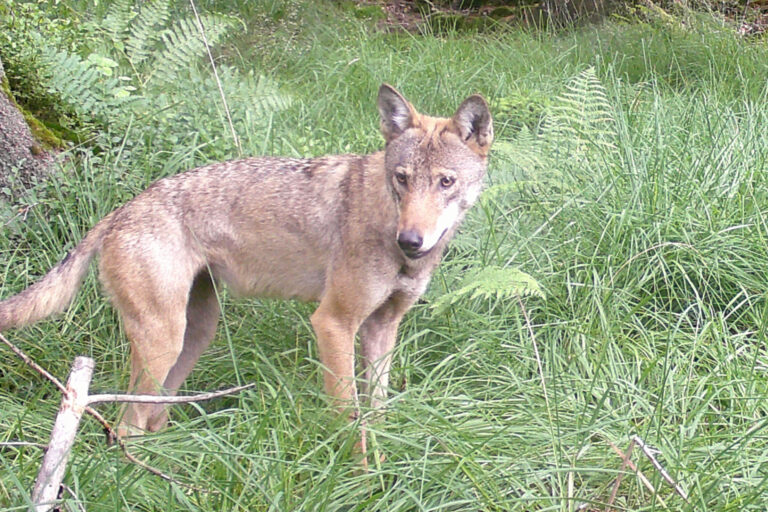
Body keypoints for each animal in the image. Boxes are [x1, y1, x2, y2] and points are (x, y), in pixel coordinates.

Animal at [0, 84, 493, 436]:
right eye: (402, 179)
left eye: (446, 182)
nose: (411, 240)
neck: (385, 220)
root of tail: (120, 211)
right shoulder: (333, 323)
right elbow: (349, 419)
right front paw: (359, 476)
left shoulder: (382, 328)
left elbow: (378, 413)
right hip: (165, 342)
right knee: (127, 425)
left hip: (193, 336)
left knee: (152, 418)